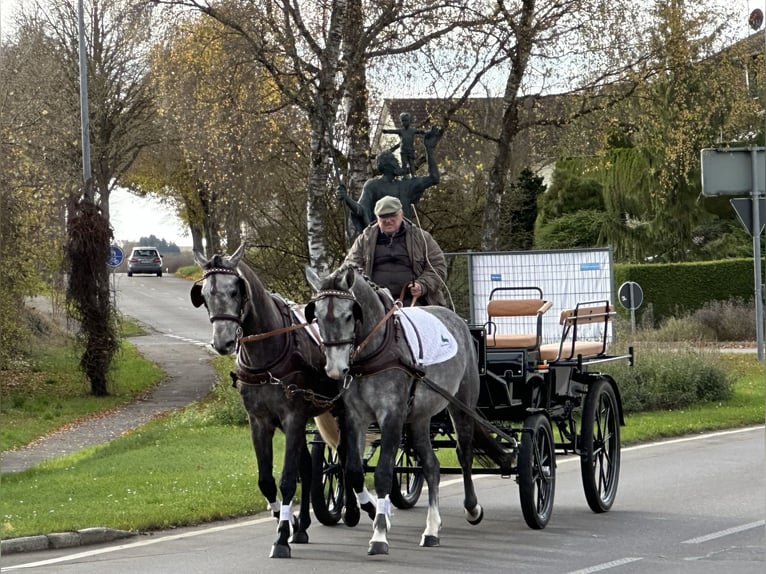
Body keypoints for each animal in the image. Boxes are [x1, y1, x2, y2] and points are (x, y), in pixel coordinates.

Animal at [308, 266, 516, 560]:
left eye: (349, 314)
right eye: (315, 316)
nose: (336, 369)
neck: (377, 350)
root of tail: (458, 321)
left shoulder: (392, 416)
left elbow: (384, 472)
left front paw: (379, 535)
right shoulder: (354, 418)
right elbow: (354, 471)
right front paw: (375, 513)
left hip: (460, 405)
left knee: (464, 455)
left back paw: (472, 508)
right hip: (419, 417)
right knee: (431, 465)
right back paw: (431, 530)